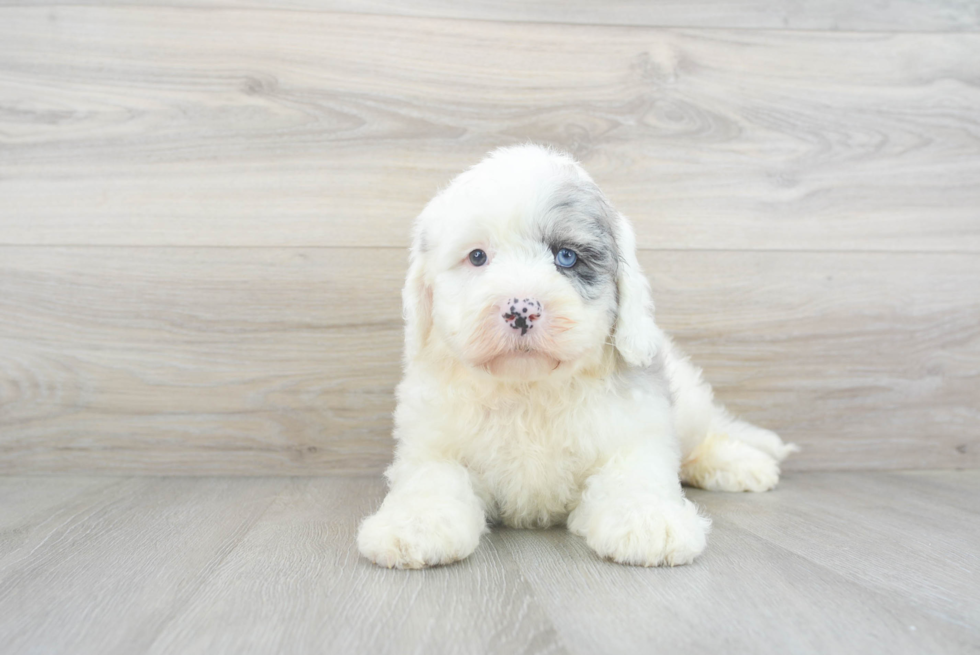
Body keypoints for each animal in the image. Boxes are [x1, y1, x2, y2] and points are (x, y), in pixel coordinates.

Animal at [358, 145, 796, 568]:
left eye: (566, 257)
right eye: (478, 256)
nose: (521, 310)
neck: (529, 390)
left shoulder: (636, 432)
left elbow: (636, 475)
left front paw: (649, 522)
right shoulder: (432, 445)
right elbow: (431, 479)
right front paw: (414, 525)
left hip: (688, 402)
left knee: (705, 436)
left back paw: (743, 464)